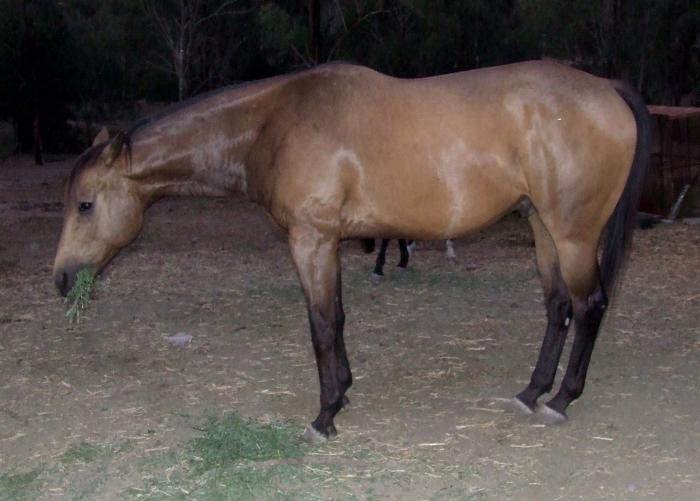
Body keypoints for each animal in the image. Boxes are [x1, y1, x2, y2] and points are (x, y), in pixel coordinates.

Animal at [53, 60, 650, 443]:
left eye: (85, 204)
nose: (60, 279)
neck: (273, 125)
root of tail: (608, 89)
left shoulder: (311, 240)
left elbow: (321, 324)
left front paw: (324, 417)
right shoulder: (329, 243)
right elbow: (336, 319)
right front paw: (342, 392)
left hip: (573, 236)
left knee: (589, 306)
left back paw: (562, 399)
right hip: (543, 229)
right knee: (558, 307)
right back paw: (531, 392)